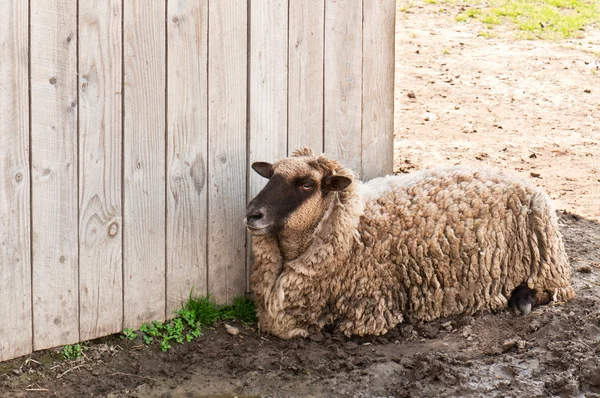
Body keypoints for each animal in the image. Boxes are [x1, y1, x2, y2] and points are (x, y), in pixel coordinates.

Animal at [245, 148, 576, 338]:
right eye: (271, 176)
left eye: (307, 184)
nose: (252, 213)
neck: (354, 224)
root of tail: (522, 180)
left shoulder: (370, 308)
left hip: (546, 259)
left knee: (551, 290)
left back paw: (523, 300)